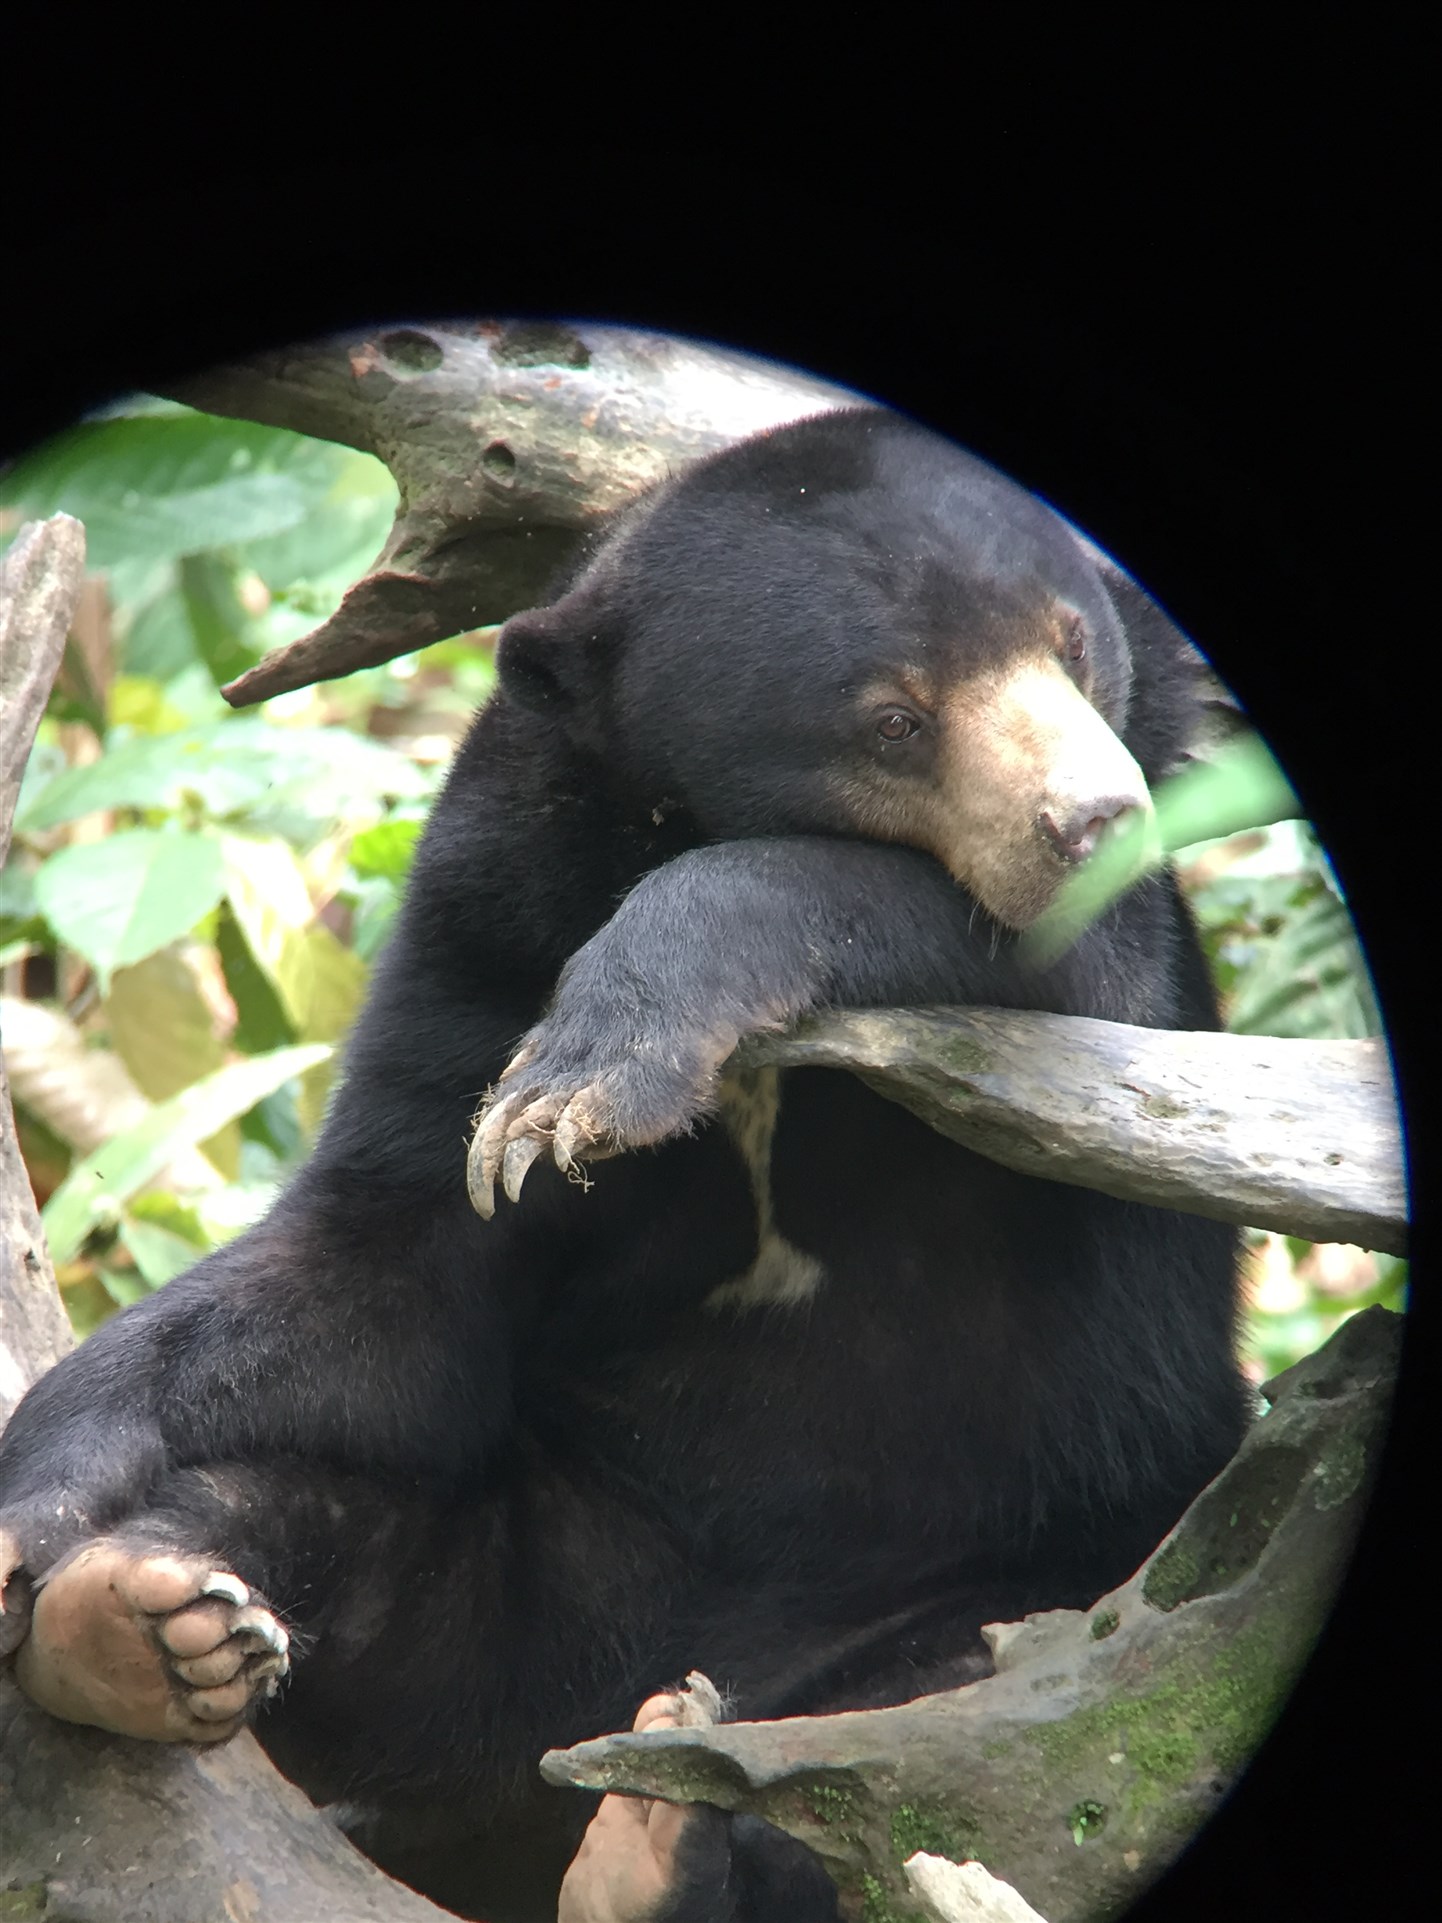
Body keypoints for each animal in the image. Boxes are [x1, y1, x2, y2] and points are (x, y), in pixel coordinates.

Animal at [0, 405, 1248, 1922]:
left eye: (1072, 647)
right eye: (892, 719)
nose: (1091, 820)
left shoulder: (1102, 996)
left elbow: (1052, 951)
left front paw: (591, 1069)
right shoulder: (497, 899)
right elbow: (389, 1254)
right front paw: (32, 1517)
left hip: (1032, 1573)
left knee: (909, 1767)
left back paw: (648, 1836)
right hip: (529, 1566)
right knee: (298, 1521)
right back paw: (135, 1626)